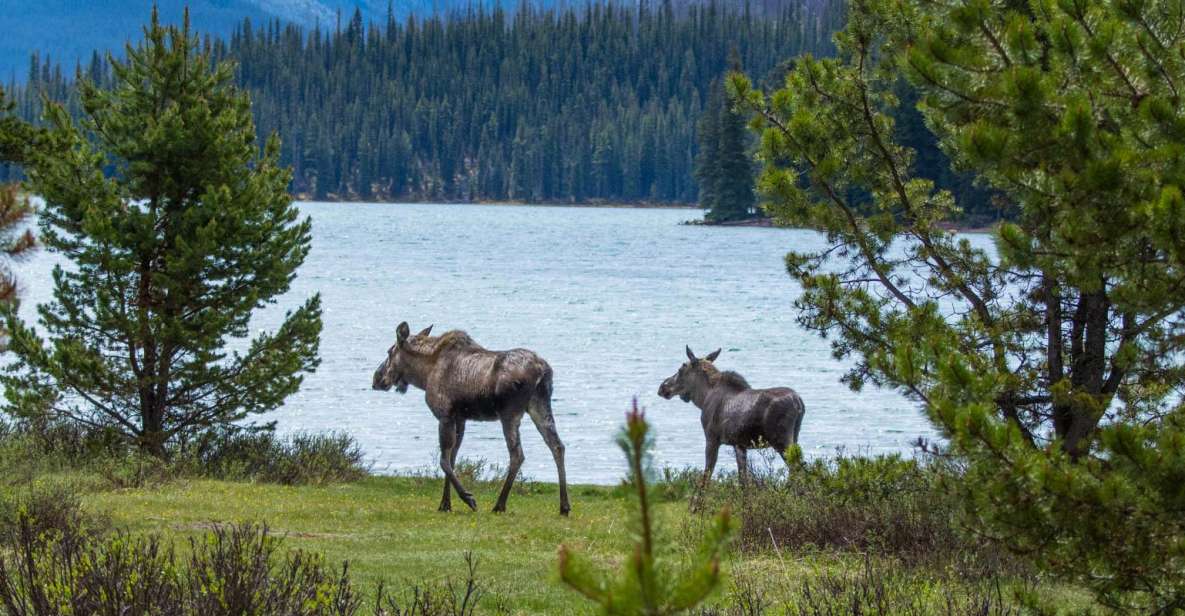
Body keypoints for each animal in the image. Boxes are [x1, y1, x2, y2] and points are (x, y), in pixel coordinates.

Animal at [372, 322, 571, 514]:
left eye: (389, 352)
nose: (376, 379)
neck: (424, 374)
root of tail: (543, 371)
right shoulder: (460, 419)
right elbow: (452, 459)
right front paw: (445, 504)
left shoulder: (445, 415)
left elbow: (444, 461)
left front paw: (468, 499)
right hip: (540, 405)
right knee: (557, 446)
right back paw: (564, 506)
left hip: (509, 413)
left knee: (517, 454)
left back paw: (499, 505)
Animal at [658, 345, 805, 485]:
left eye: (681, 369)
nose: (662, 387)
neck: (703, 397)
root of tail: (798, 402)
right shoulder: (739, 445)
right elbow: (743, 479)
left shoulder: (712, 438)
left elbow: (706, 477)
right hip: (794, 436)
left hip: (781, 439)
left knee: (797, 468)